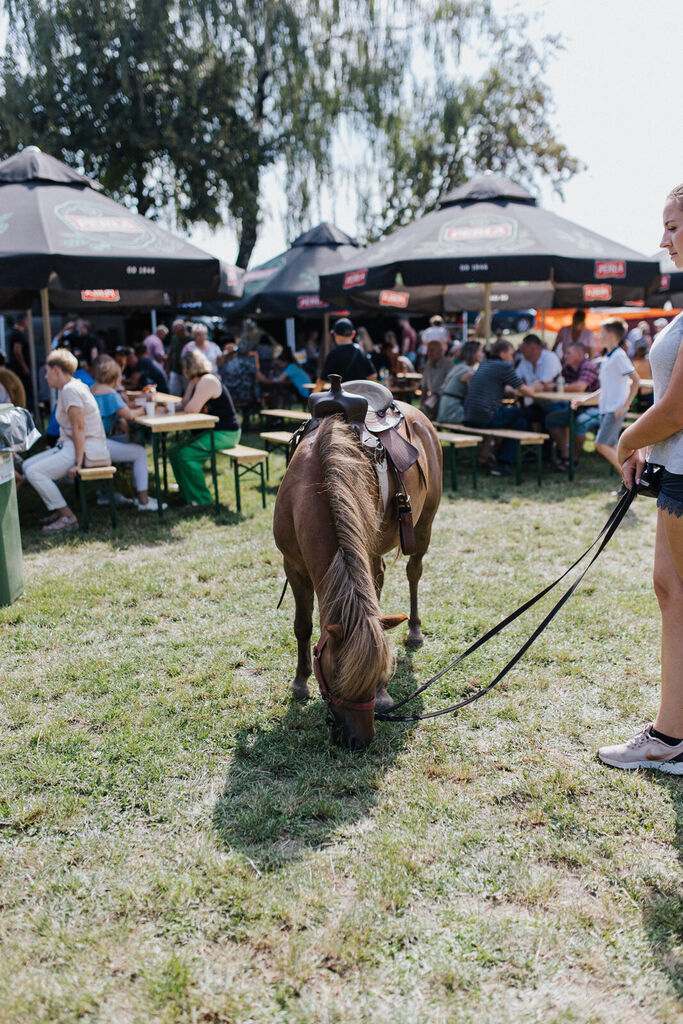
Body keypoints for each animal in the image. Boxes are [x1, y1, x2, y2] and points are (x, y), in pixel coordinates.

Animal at [272, 403, 444, 749]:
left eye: (380, 673)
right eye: (336, 676)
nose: (360, 740)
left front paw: (383, 695)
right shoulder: (292, 566)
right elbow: (302, 626)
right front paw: (300, 683)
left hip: (423, 526)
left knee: (413, 573)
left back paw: (415, 630)